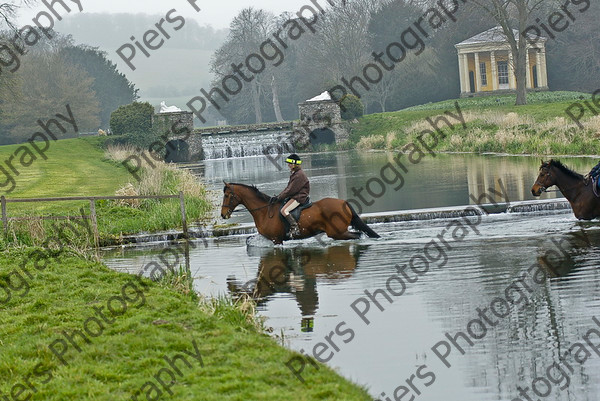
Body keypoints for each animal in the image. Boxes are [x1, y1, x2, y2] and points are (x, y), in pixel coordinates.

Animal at [220, 182, 380, 244]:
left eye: (227, 195)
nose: (223, 214)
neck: (264, 211)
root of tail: (344, 203)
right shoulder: (266, 237)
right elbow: (249, 240)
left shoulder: (276, 239)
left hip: (337, 232)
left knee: (356, 235)